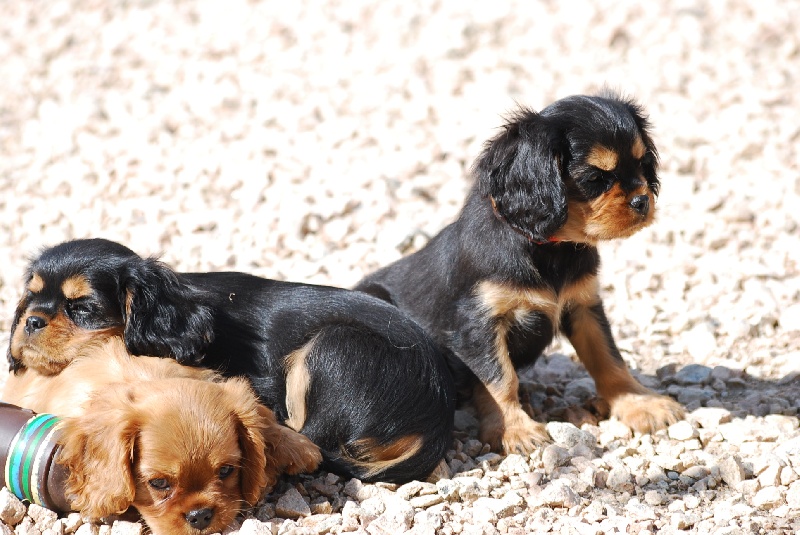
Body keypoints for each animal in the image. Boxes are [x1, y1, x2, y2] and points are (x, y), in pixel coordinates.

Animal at [358, 91, 688, 452]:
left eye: (643, 164)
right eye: (595, 179)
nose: (642, 201)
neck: (551, 248)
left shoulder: (583, 305)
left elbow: (609, 359)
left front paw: (639, 404)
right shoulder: (478, 322)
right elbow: (501, 379)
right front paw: (514, 430)